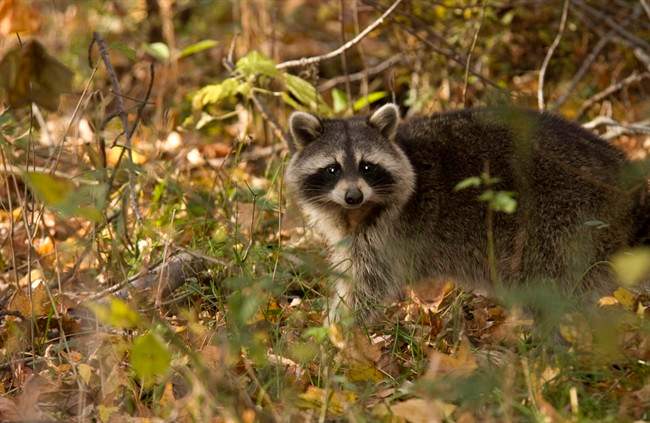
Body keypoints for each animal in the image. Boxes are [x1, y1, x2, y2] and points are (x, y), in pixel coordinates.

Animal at [284, 103, 649, 321]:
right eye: (332, 169)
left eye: (367, 166)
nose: (353, 196)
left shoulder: (386, 236)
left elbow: (365, 287)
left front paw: (338, 335)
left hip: (563, 219)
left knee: (546, 285)